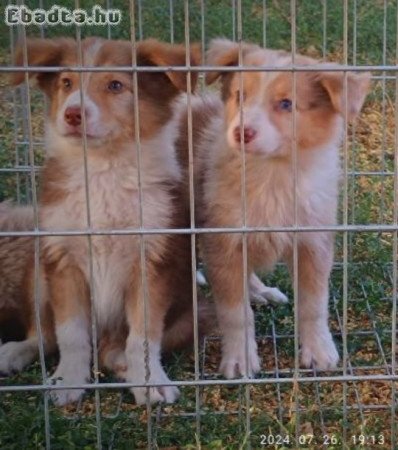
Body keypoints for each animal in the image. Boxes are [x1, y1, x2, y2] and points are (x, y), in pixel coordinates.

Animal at [10, 37, 201, 404]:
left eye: (115, 85)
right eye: (66, 83)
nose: (72, 113)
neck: (104, 169)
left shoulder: (151, 263)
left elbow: (143, 337)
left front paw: (150, 381)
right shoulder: (63, 260)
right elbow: (70, 333)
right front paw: (69, 380)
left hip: (188, 313)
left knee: (115, 349)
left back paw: (123, 364)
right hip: (38, 275)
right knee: (42, 336)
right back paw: (12, 353)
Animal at [176, 38, 370, 378]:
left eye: (286, 104)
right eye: (240, 95)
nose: (242, 132)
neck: (273, 175)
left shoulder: (312, 241)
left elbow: (314, 304)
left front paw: (319, 351)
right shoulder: (223, 239)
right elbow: (235, 313)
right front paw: (240, 358)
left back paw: (260, 290)